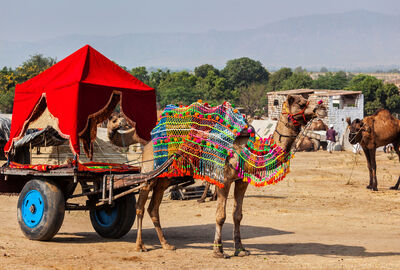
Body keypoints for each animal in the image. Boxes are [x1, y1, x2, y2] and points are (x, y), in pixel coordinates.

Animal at [108, 95, 324, 258]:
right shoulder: (223, 179)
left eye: (307, 99)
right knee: (140, 206)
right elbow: (221, 216)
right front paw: (218, 251)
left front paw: (241, 249)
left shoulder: (241, 181)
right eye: (301, 103)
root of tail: (148, 142)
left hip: (165, 177)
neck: (247, 149)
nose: (322, 108)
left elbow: (238, 215)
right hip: (149, 172)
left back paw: (166, 244)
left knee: (153, 208)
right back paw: (140, 246)